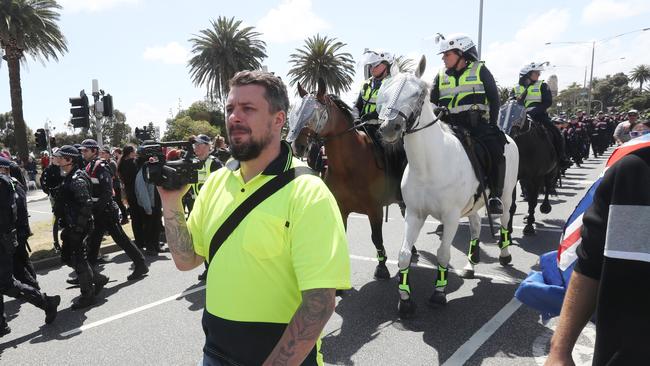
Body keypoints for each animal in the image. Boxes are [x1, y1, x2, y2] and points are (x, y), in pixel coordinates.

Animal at [286, 79, 408, 280]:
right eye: (295, 111)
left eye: (314, 113)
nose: (297, 146)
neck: (349, 167)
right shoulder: (341, 208)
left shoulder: (375, 210)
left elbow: (376, 238)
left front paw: (382, 266)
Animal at [374, 55, 516, 318]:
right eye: (385, 92)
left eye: (418, 94)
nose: (389, 128)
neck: (429, 165)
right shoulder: (414, 214)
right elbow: (404, 255)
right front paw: (405, 300)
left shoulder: (450, 217)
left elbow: (442, 253)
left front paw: (439, 293)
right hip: (472, 206)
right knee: (475, 227)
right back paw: (470, 265)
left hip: (507, 194)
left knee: (503, 221)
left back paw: (504, 254)